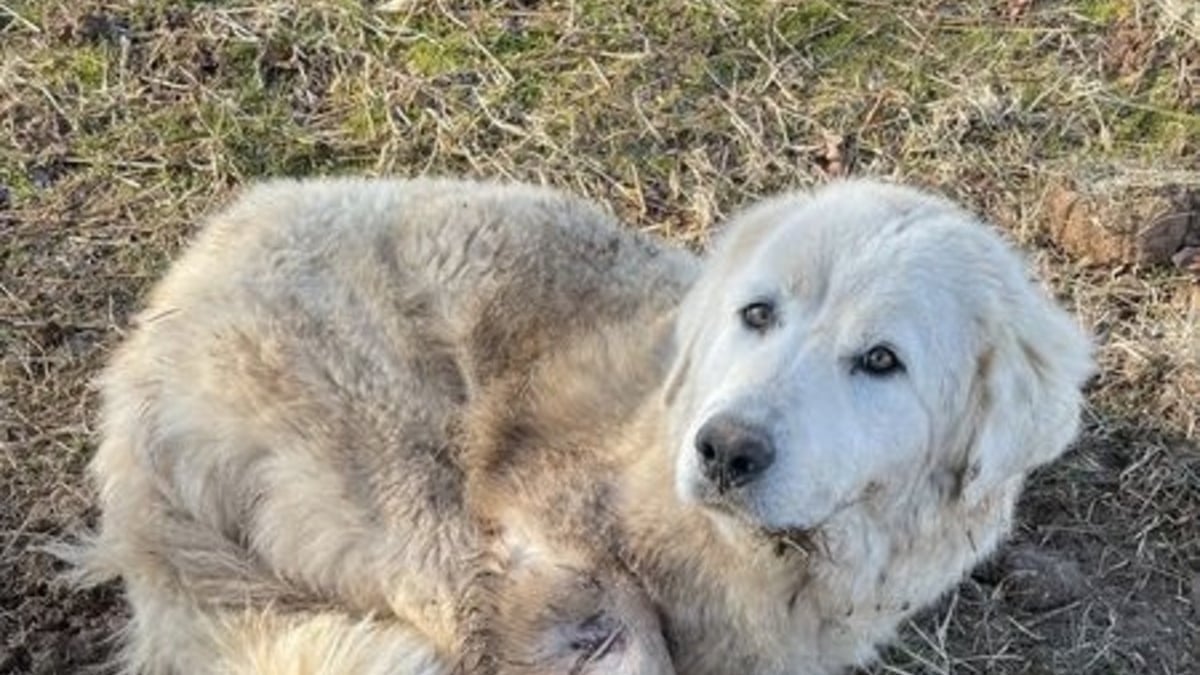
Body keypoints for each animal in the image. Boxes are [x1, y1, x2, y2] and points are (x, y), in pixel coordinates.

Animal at [79, 176, 1094, 667]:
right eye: (757, 313)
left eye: (882, 361)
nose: (724, 448)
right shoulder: (530, 520)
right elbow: (620, 627)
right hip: (411, 479)